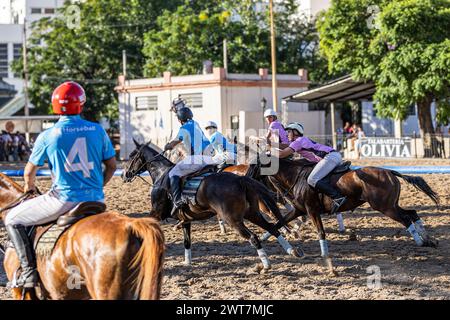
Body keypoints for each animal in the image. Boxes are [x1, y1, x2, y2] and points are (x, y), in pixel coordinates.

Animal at [121, 141, 300, 272]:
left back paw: (266, 265)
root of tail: (240, 179)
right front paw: (187, 263)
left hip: (234, 219)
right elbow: (187, 242)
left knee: (253, 237)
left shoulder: (155, 214)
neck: (162, 174)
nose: (124, 175)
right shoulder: (186, 220)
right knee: (272, 227)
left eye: (131, 156)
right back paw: (292, 250)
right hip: (252, 213)